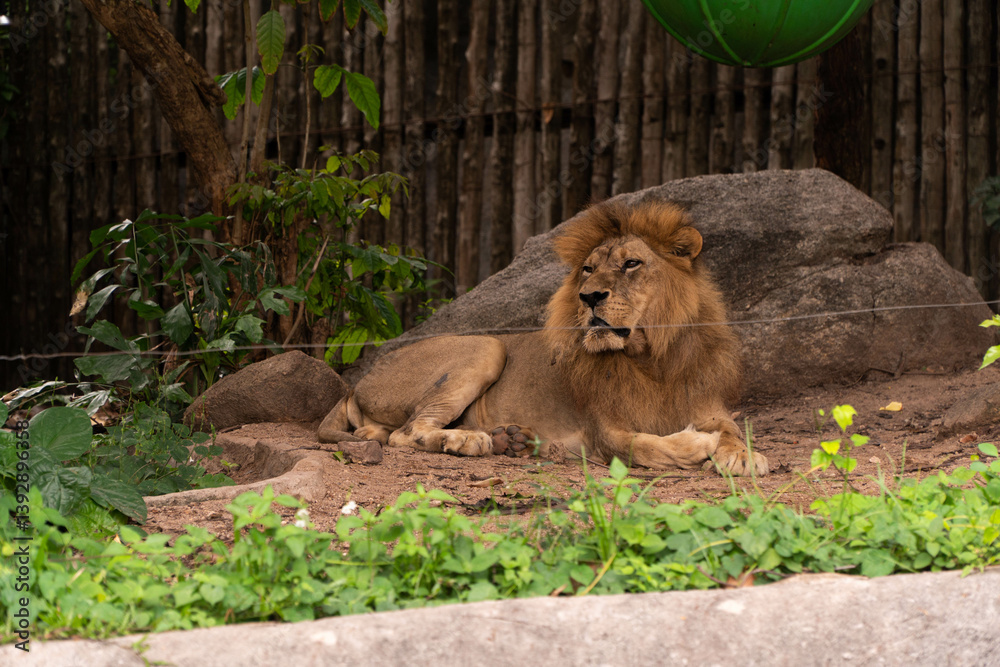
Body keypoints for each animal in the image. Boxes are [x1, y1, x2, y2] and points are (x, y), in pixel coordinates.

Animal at [318, 200, 768, 476]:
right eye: (588, 269)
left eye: (631, 264)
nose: (589, 297)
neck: (650, 359)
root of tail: (356, 384)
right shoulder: (605, 431)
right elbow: (646, 447)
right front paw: (699, 444)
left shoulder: (706, 402)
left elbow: (733, 428)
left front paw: (743, 456)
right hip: (487, 345)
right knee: (404, 433)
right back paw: (470, 439)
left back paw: (514, 441)